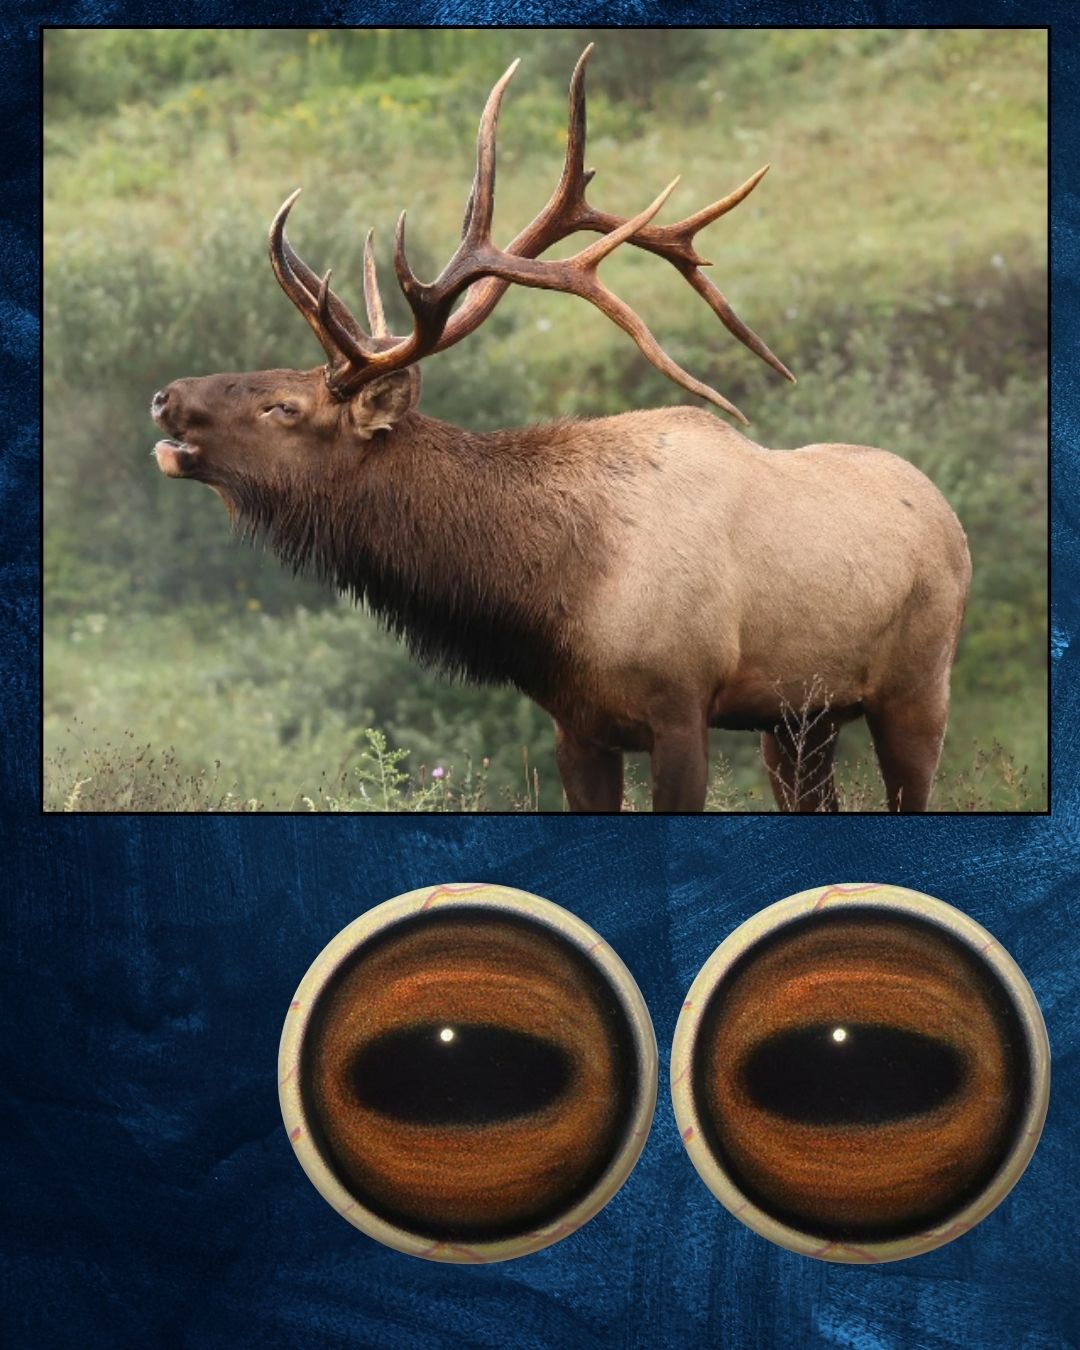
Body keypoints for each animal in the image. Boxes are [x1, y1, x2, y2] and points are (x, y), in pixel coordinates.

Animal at [151, 47, 971, 813]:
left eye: (284, 407)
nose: (165, 397)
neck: (558, 591)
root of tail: (951, 520)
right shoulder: (575, 723)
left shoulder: (681, 705)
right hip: (802, 716)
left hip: (916, 686)